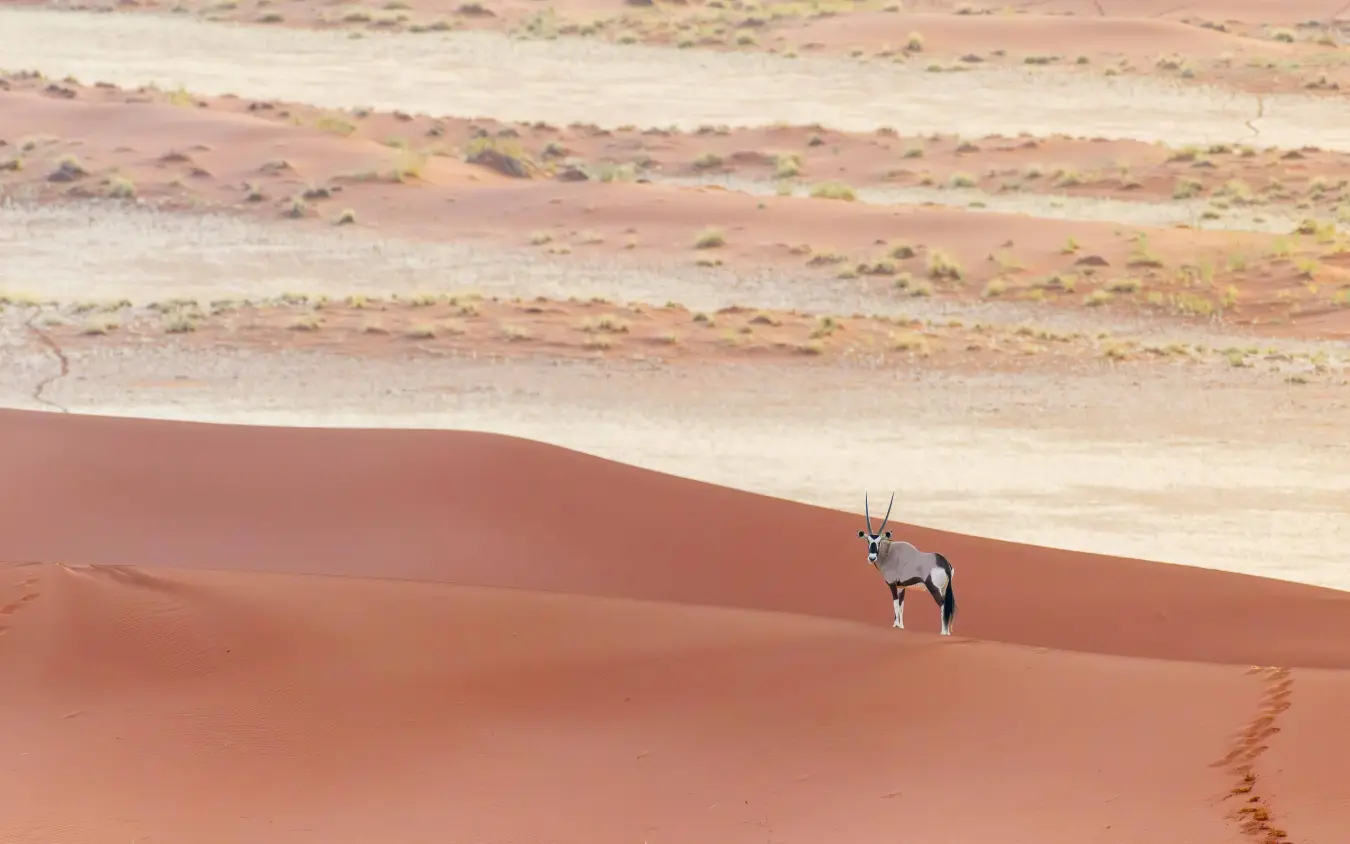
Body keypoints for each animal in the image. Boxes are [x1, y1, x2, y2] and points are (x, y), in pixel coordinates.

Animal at [856, 492, 957, 636]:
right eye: (868, 541)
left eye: (879, 541)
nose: (872, 557)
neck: (889, 553)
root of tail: (944, 563)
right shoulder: (902, 586)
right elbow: (901, 606)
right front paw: (900, 626)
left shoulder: (892, 584)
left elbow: (895, 603)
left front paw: (896, 625)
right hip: (943, 589)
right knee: (947, 606)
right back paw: (947, 632)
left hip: (934, 588)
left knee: (943, 606)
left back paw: (943, 633)